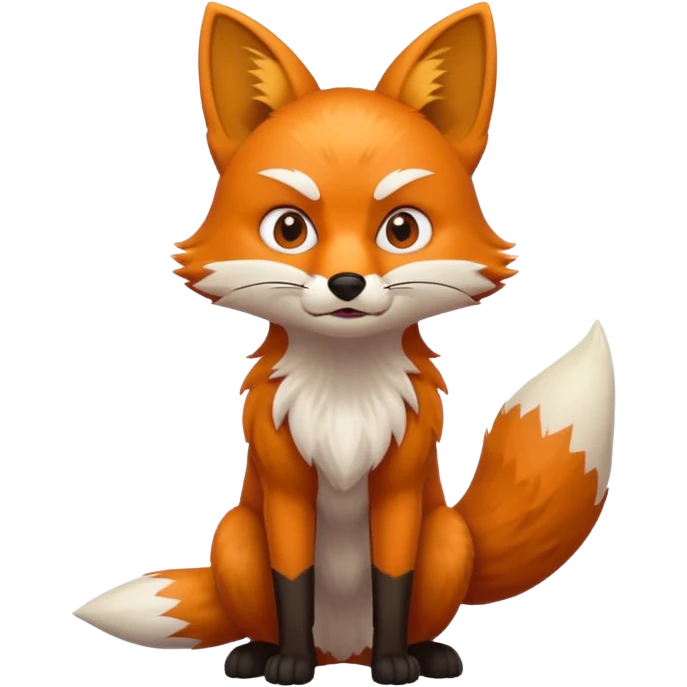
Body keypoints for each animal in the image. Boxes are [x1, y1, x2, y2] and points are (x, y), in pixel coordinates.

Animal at [72, 2, 616, 685]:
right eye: (289, 228)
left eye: (402, 229)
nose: (346, 283)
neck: (344, 398)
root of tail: (342, 652)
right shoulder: (286, 485)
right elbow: (293, 580)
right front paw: (290, 664)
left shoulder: (399, 484)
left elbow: (392, 578)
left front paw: (395, 664)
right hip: (235, 538)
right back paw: (258, 653)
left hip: (448, 540)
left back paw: (425, 654)